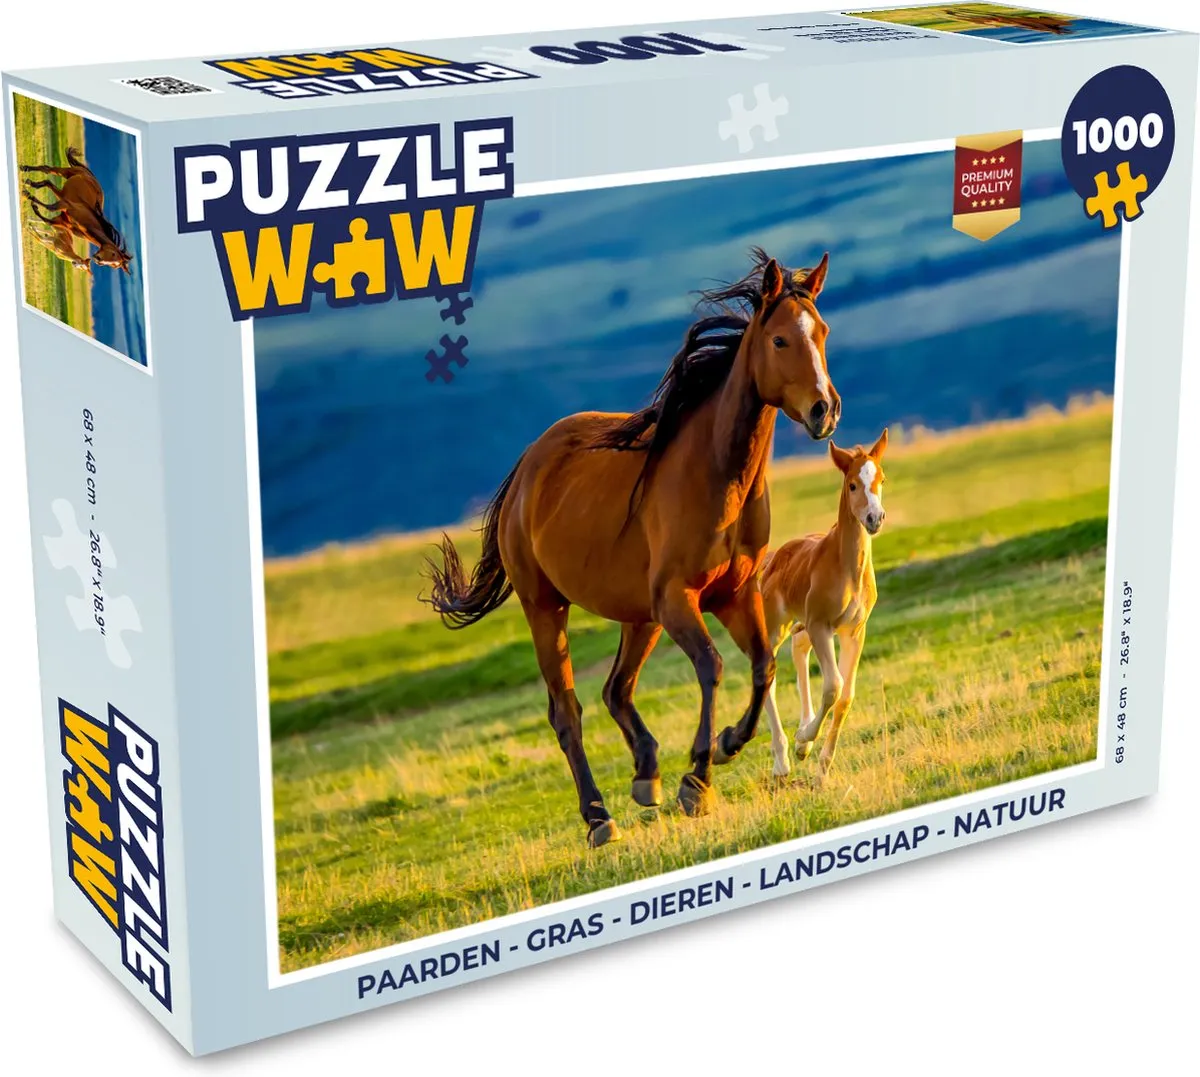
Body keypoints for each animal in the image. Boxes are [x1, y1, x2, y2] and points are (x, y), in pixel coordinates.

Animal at [424, 248, 840, 847]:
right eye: (781, 340)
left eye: (822, 332)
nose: (824, 410)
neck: (717, 475)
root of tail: (527, 468)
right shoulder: (678, 600)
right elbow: (712, 667)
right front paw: (698, 779)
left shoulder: (734, 596)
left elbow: (763, 666)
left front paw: (727, 743)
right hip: (547, 608)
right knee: (567, 711)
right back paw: (599, 817)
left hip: (638, 617)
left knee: (616, 690)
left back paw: (647, 774)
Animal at [760, 429, 888, 781]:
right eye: (852, 485)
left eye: (881, 480)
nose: (874, 518)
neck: (847, 567)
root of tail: (773, 558)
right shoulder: (821, 625)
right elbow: (833, 686)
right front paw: (805, 739)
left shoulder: (854, 631)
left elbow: (846, 695)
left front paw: (821, 766)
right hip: (777, 626)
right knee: (767, 675)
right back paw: (782, 761)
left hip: (802, 625)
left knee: (798, 649)